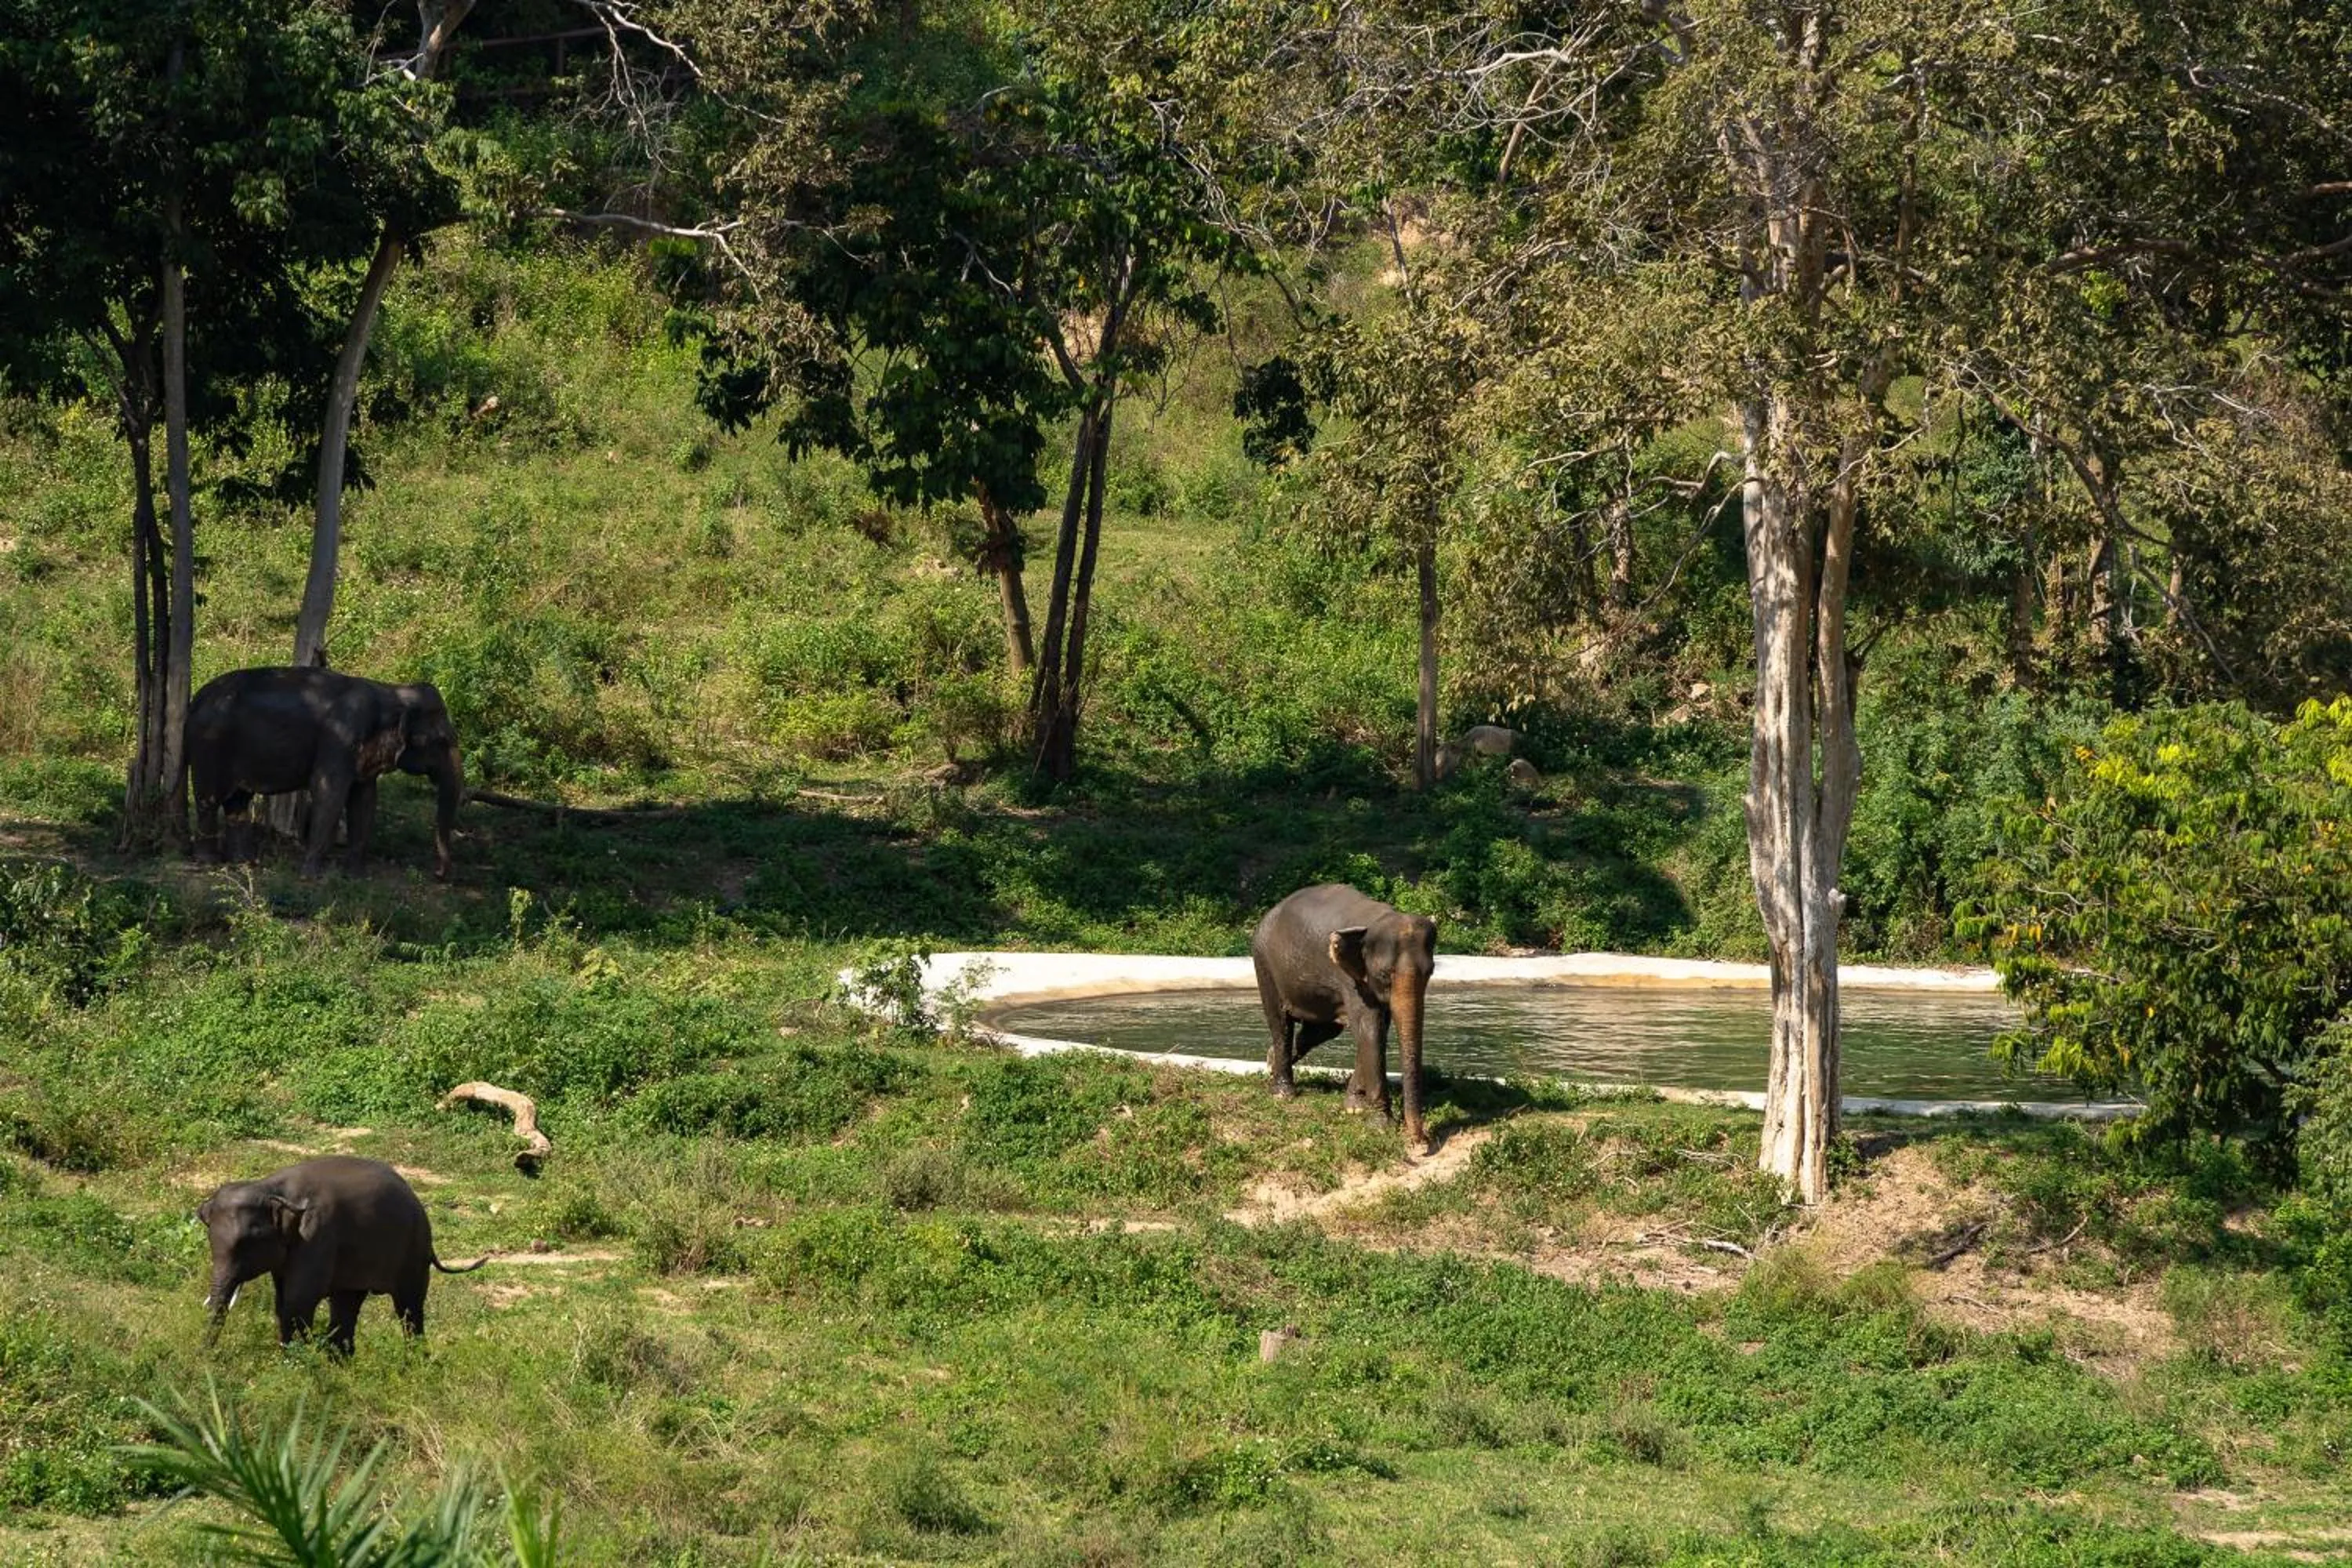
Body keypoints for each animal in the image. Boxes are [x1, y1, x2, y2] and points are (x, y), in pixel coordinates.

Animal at [184, 666, 464, 879]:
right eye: (443, 742)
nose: (438, 874)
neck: (391, 690)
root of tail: (196, 698)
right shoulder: (340, 736)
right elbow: (329, 791)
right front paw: (310, 877)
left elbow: (364, 799)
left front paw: (356, 876)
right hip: (209, 745)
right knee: (209, 800)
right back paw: (209, 862)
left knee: (239, 801)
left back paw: (243, 862)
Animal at [196, 1156, 487, 1354]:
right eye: (209, 1238)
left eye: (247, 1243)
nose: (205, 1356)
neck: (271, 1187)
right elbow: (283, 1303)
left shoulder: (317, 1237)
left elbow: (297, 1302)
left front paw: (296, 1363)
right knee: (347, 1305)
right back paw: (341, 1361)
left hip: (414, 1252)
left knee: (409, 1307)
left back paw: (415, 1361)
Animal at [1251, 883, 1439, 1153]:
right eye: (1385, 974)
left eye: (1431, 972)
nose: (1420, 1145)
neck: (1377, 918)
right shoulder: (1347, 978)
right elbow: (1371, 1029)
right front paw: (1380, 1124)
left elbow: (1376, 1029)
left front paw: (1354, 1108)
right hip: (1264, 963)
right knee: (1280, 1023)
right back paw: (1282, 1092)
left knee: (1318, 1032)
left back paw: (1269, 1061)